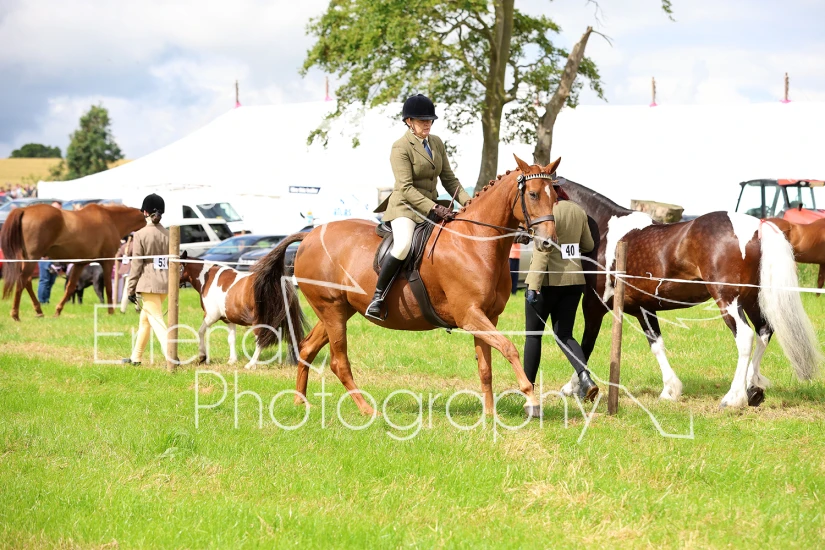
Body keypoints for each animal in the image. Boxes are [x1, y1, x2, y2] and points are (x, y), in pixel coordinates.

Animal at [1, 204, 146, 321]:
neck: (111, 219)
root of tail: (24, 209)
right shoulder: (107, 261)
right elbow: (109, 288)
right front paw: (111, 312)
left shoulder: (79, 263)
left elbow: (70, 287)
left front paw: (58, 311)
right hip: (32, 258)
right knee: (22, 280)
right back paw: (15, 314)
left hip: (26, 259)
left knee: (27, 281)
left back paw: (39, 311)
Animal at [252, 156, 561, 417]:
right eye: (533, 194)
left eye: (555, 196)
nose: (549, 242)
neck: (475, 241)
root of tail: (308, 237)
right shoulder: (470, 316)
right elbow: (509, 348)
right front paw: (530, 399)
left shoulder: (487, 317)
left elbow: (485, 367)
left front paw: (490, 416)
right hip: (332, 310)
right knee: (339, 362)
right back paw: (368, 410)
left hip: (338, 310)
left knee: (307, 349)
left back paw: (300, 403)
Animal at [559, 178, 821, 408]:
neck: (605, 233)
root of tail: (757, 227)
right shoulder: (643, 308)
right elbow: (656, 343)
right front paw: (669, 390)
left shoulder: (594, 305)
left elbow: (585, 345)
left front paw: (575, 387)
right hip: (751, 299)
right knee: (764, 331)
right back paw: (753, 388)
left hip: (728, 300)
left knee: (745, 336)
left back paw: (733, 398)